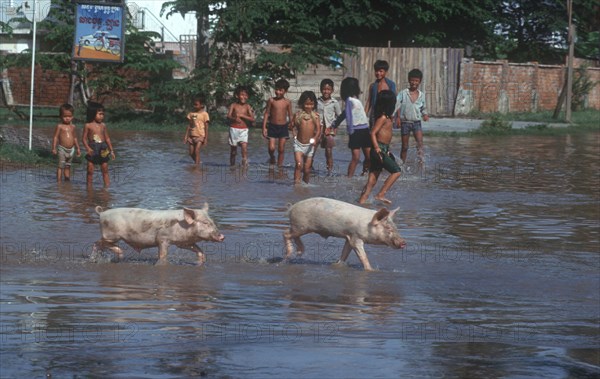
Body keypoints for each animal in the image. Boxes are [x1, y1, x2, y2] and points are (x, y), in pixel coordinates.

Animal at [94, 205, 225, 268]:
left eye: (212, 221)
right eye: (205, 223)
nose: (222, 236)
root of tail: (102, 213)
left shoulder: (182, 243)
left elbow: (199, 250)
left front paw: (201, 261)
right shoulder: (163, 238)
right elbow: (162, 255)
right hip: (111, 234)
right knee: (97, 243)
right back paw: (120, 255)